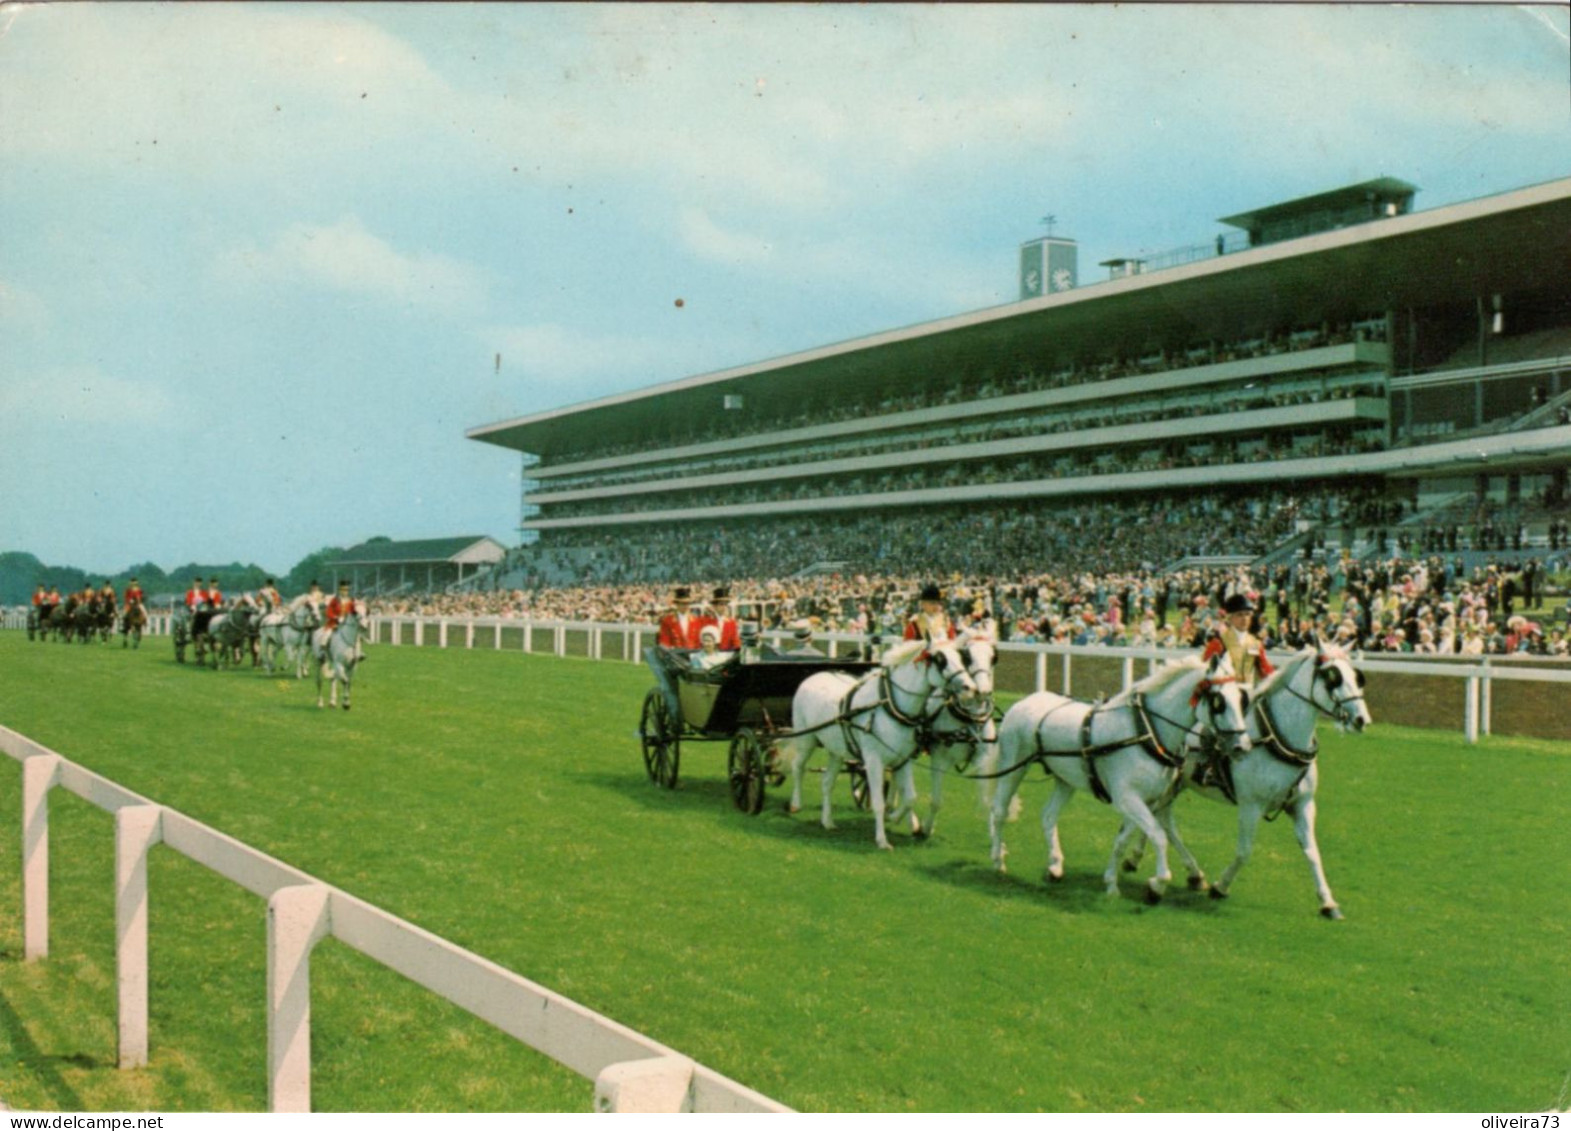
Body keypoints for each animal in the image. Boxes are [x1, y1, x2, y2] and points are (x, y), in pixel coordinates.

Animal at [785, 634, 980, 848]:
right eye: (940, 659)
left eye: (961, 657)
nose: (970, 688)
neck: (889, 707)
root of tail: (813, 677)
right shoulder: (874, 761)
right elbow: (878, 802)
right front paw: (882, 839)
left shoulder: (903, 760)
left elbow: (910, 797)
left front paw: (897, 818)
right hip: (806, 738)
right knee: (798, 767)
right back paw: (796, 804)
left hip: (836, 750)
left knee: (827, 782)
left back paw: (827, 821)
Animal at [986, 653, 1244, 898]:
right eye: (1220, 701)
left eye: (1242, 698)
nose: (1241, 745)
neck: (1145, 733)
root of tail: (1025, 701)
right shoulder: (1127, 798)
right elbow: (1158, 835)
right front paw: (1157, 885)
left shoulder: (1145, 800)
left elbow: (1122, 840)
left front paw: (1111, 883)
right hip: (1014, 765)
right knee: (999, 811)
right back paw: (998, 860)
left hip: (1065, 780)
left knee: (1048, 816)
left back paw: (1055, 867)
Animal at [1124, 644, 1369, 917]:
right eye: (1333, 676)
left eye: (1356, 676)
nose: (1361, 719)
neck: (1276, 737)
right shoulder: (1251, 805)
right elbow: (1244, 852)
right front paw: (1220, 887)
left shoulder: (1303, 804)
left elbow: (1312, 852)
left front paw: (1328, 902)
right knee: (1162, 820)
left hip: (1173, 785)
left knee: (1161, 818)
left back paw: (1165, 865)